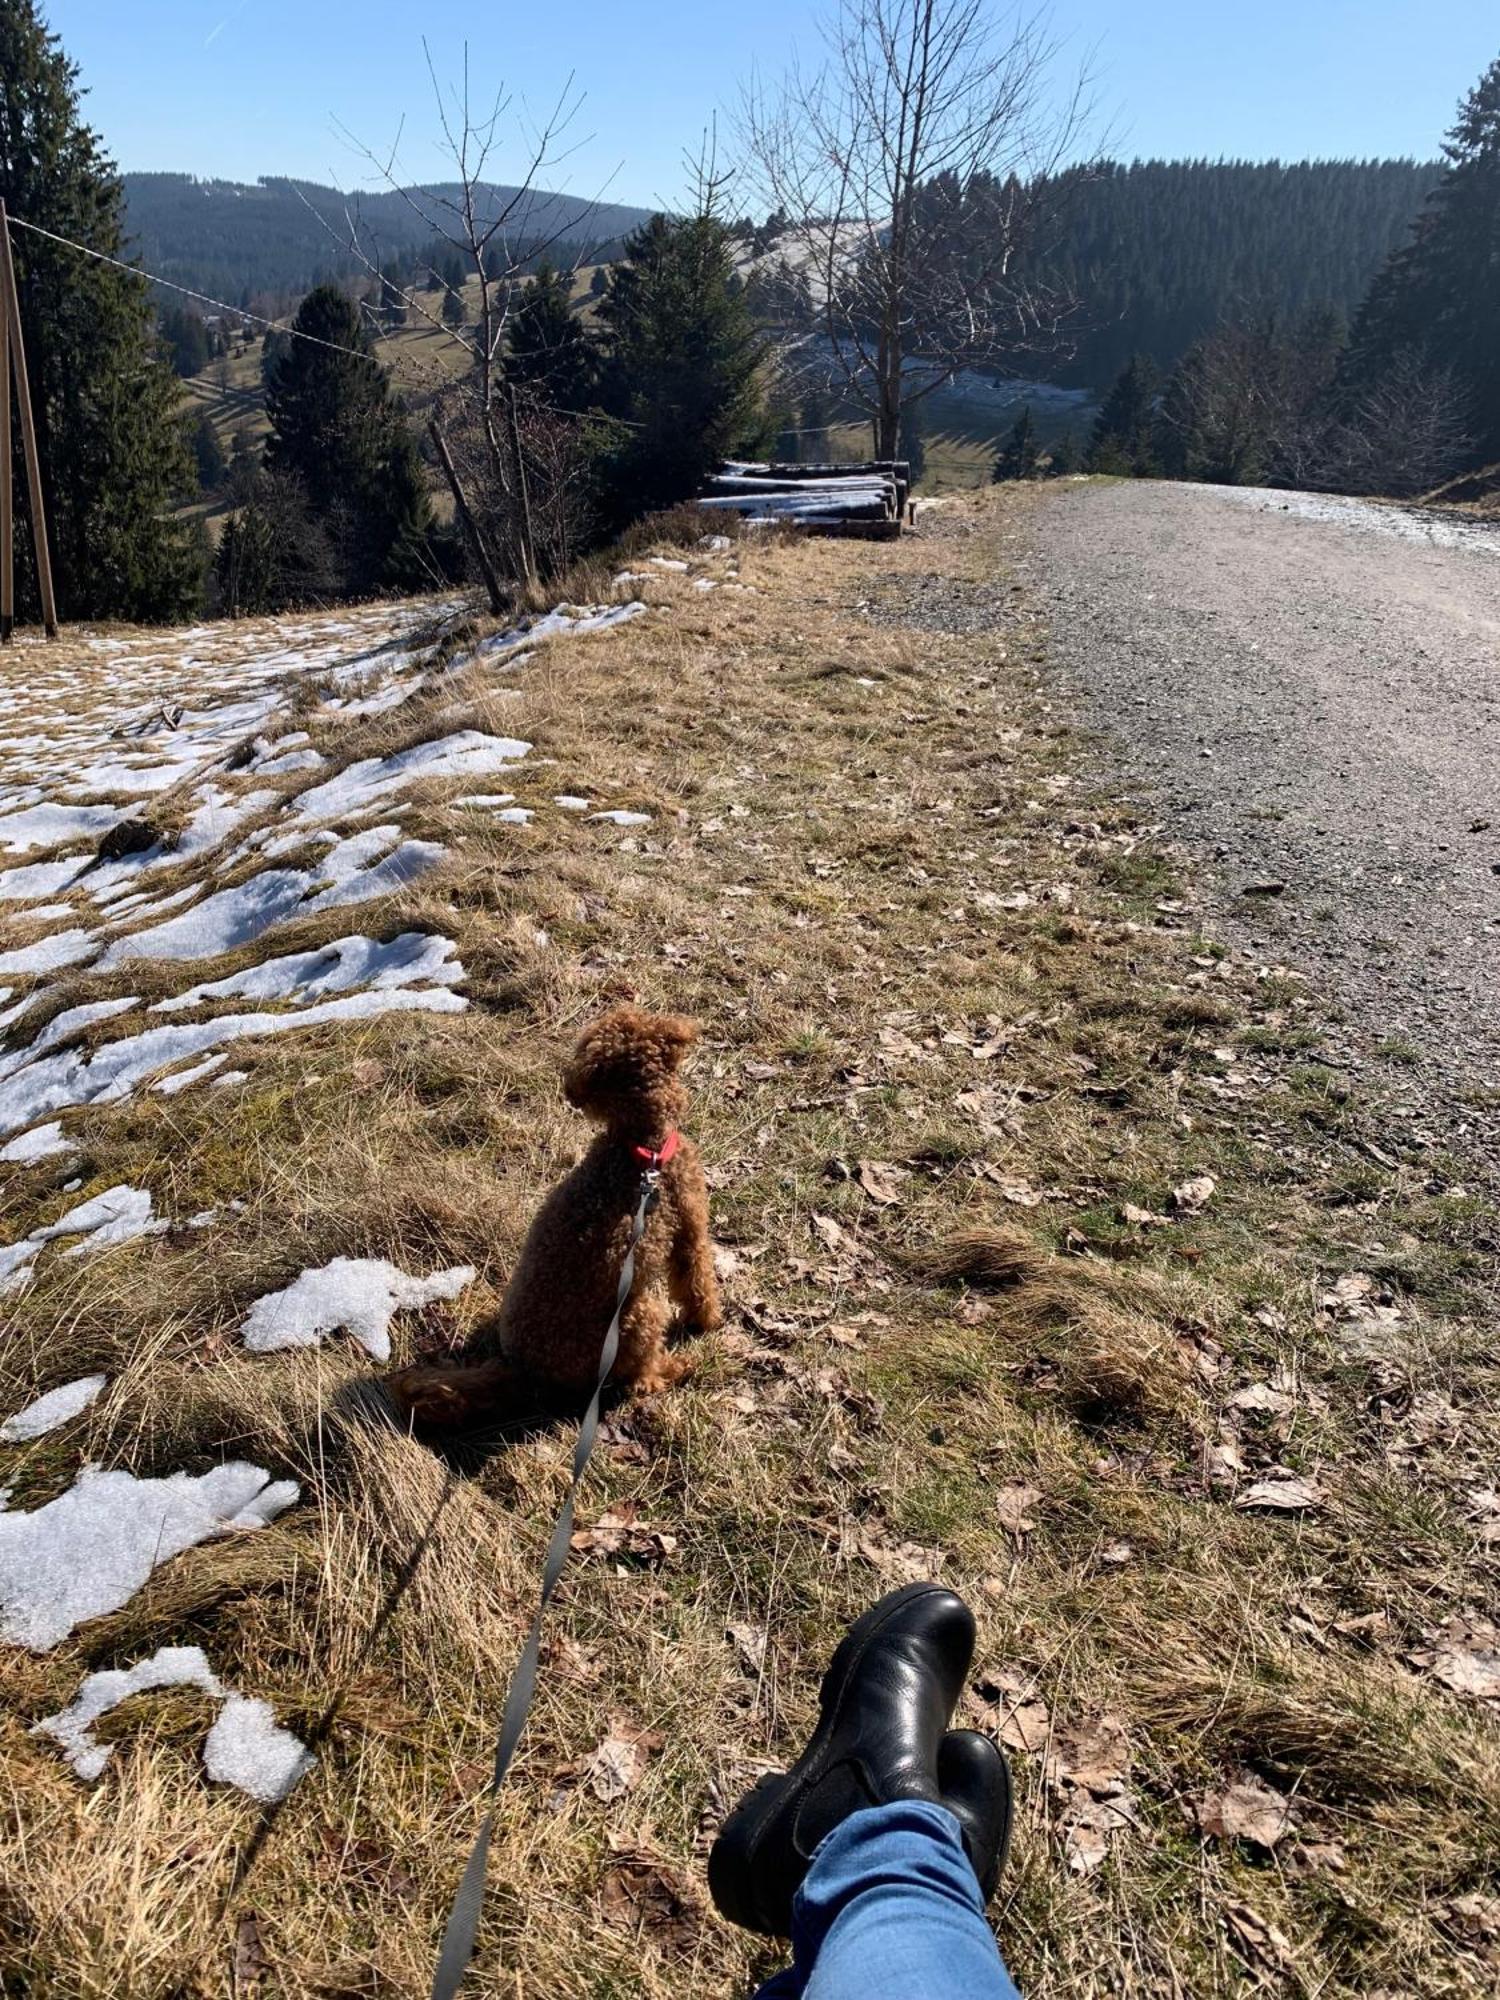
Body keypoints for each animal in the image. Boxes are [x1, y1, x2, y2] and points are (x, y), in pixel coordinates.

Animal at [384, 1000, 720, 1424]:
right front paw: (709, 1321)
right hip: (638, 1315)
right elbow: (698, 1282)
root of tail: (525, 1372)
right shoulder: (690, 1225)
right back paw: (672, 1369)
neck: (640, 1145)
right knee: (640, 1377)